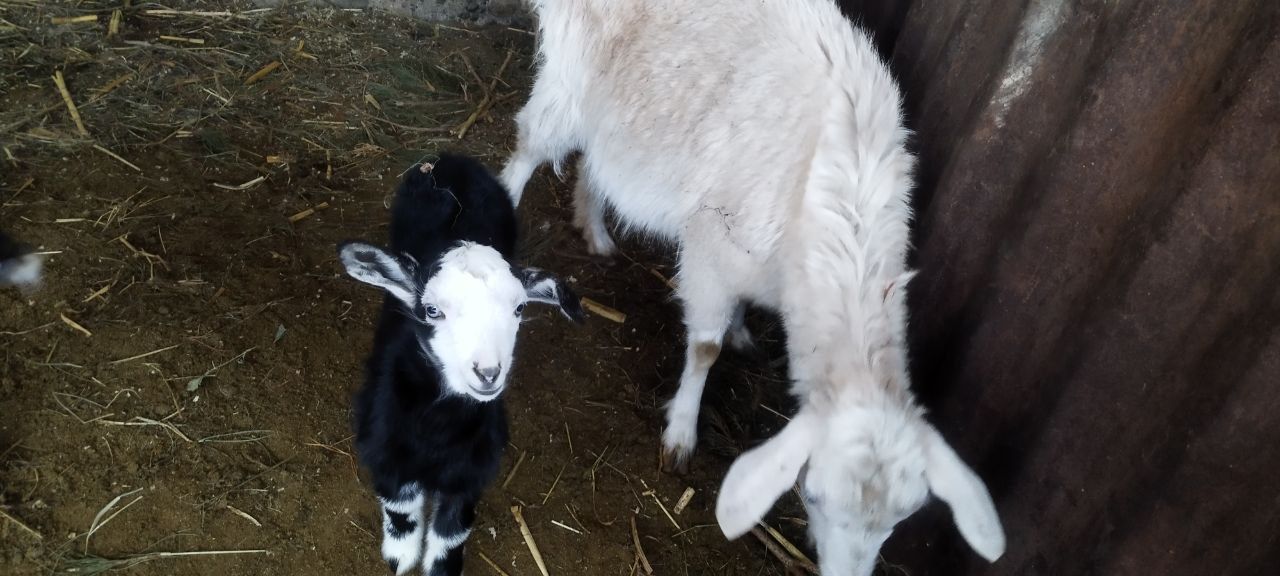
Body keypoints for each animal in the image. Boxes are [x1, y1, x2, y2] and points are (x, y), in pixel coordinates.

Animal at [499, 0, 1008, 570]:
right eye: (813, 495)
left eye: (902, 519)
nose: (843, 574)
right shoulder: (711, 250)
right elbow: (704, 348)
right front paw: (682, 431)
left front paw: (743, 331)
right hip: (570, 74)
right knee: (529, 145)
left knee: (597, 156)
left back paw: (597, 231)